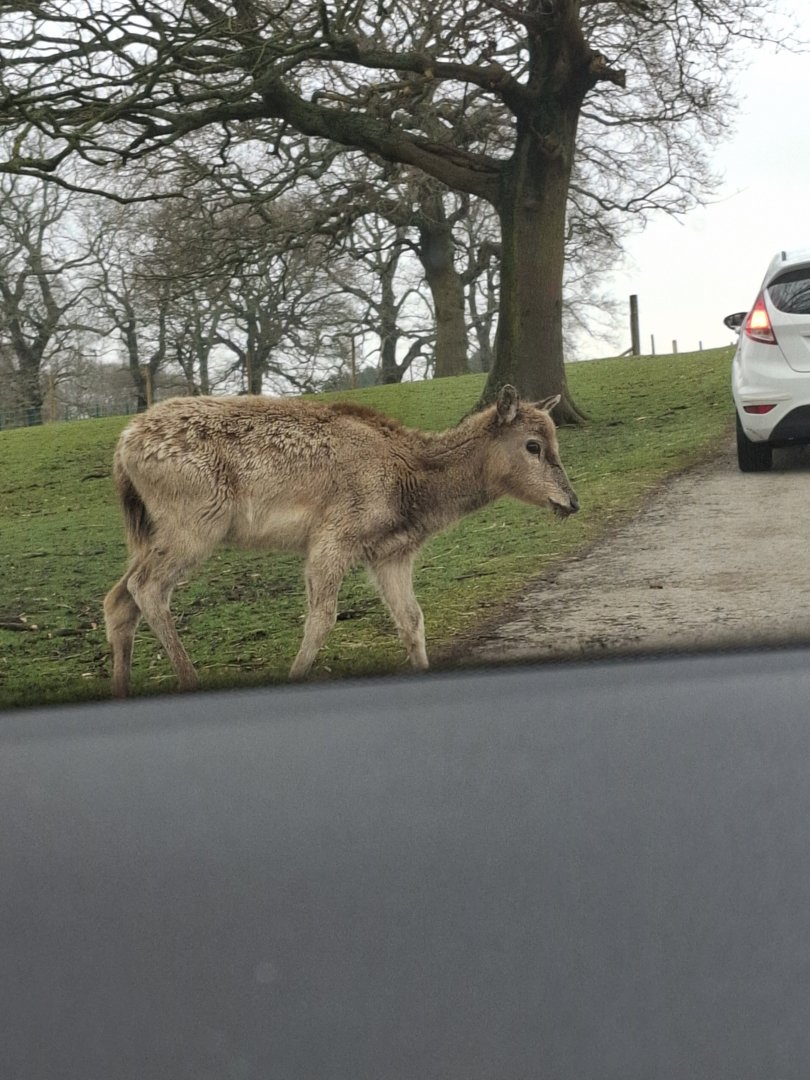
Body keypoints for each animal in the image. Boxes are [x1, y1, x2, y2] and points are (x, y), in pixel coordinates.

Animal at [103, 386, 579, 697]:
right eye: (533, 445)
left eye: (555, 440)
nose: (571, 502)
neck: (412, 494)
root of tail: (122, 449)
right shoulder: (334, 536)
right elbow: (322, 619)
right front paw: (295, 675)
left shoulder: (391, 554)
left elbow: (412, 619)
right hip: (195, 522)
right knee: (146, 587)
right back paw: (189, 679)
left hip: (150, 530)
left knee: (117, 597)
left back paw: (121, 688)